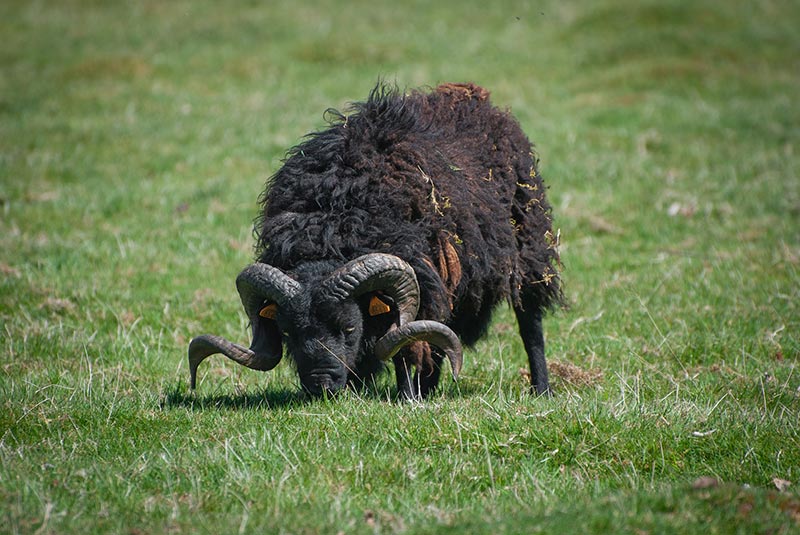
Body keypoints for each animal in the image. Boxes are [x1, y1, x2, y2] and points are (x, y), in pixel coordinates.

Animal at [188, 80, 564, 398]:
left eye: (349, 327)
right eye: (287, 332)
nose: (321, 387)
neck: (331, 229)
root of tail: (474, 96)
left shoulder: (417, 283)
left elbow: (402, 343)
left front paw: (406, 398)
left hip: (530, 249)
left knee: (529, 323)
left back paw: (541, 389)